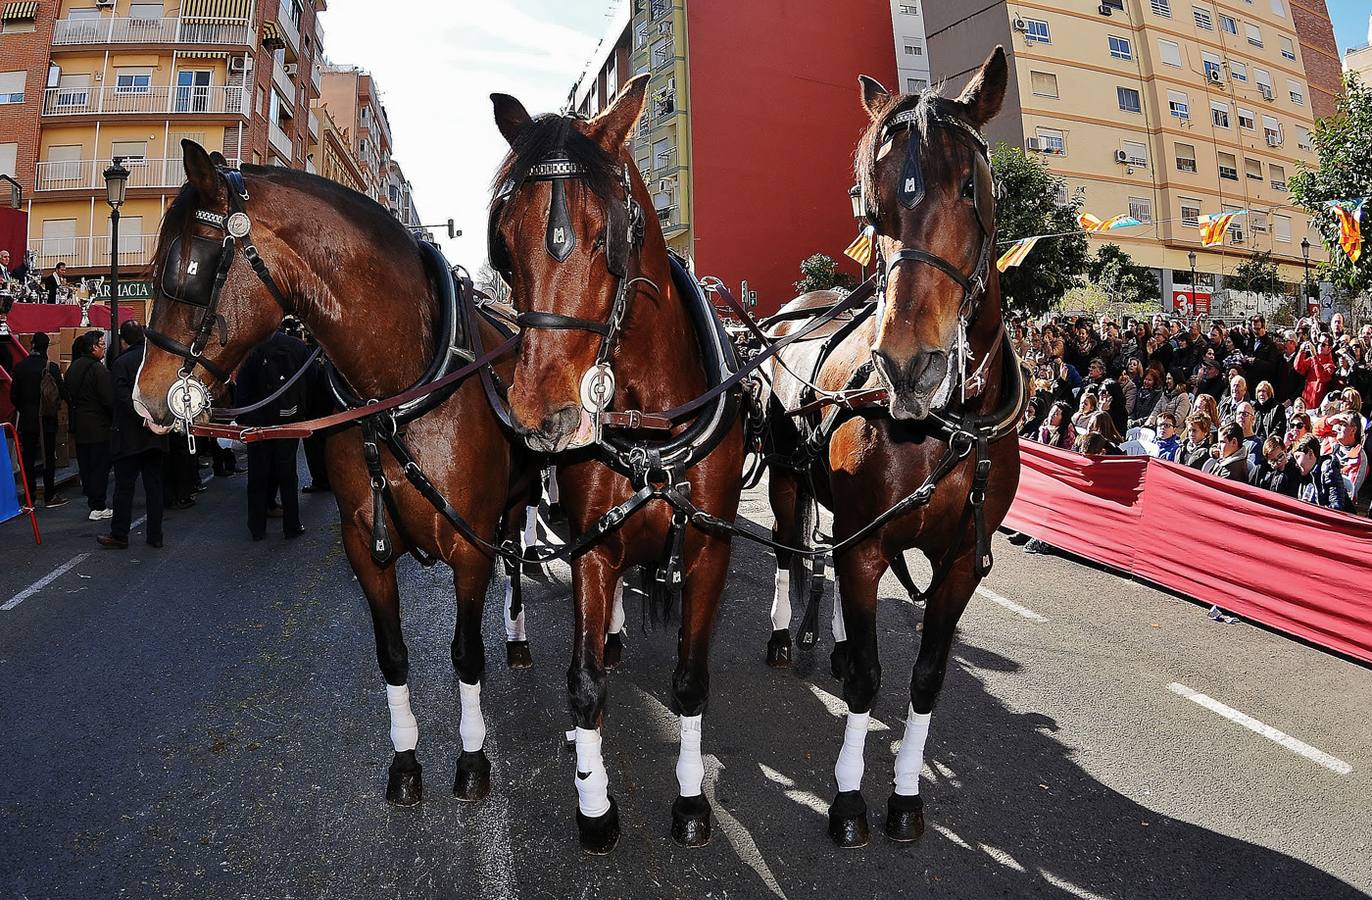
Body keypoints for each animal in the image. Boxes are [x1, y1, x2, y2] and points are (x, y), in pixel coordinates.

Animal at [135, 138, 524, 806]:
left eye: (187, 266)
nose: (143, 398)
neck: (395, 395)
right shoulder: (364, 545)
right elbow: (392, 655)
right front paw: (405, 762)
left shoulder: (470, 546)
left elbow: (466, 653)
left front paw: (472, 760)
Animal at [491, 75, 746, 850]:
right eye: (504, 244)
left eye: (610, 238)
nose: (542, 414)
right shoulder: (593, 548)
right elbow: (584, 684)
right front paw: (594, 802)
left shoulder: (709, 548)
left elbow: (691, 681)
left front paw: (690, 801)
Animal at [768, 49, 1026, 845]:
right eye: (869, 205)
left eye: (970, 185)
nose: (909, 364)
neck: (943, 427)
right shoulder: (864, 545)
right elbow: (868, 678)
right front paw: (850, 796)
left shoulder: (960, 563)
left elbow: (925, 678)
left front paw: (906, 792)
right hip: (786, 479)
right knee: (789, 547)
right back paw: (786, 630)